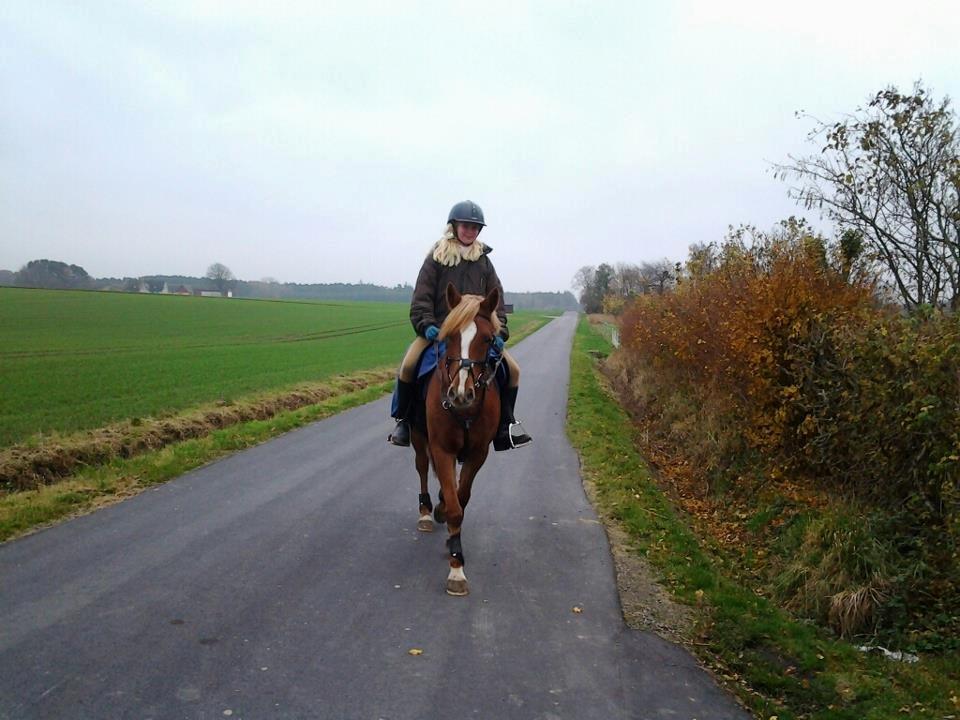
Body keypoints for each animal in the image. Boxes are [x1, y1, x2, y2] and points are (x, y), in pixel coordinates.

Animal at [410, 283, 502, 596]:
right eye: (448, 336)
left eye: (488, 339)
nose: (460, 393)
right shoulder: (442, 450)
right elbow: (454, 508)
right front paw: (456, 570)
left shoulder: (478, 453)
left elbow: (460, 498)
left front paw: (454, 546)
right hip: (418, 438)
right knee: (422, 468)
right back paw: (426, 512)